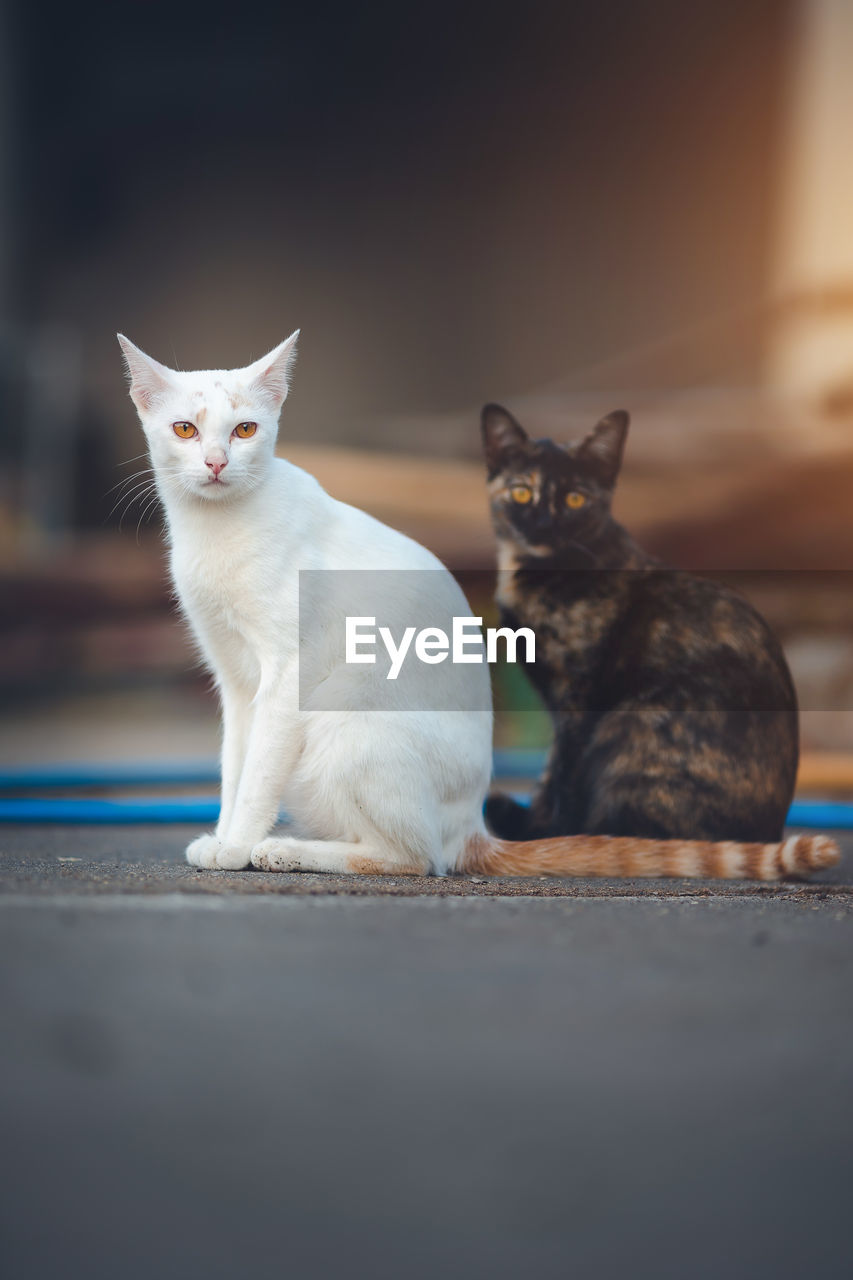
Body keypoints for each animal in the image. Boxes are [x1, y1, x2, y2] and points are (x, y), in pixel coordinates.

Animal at [481, 409, 799, 844]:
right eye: (521, 493)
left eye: (575, 499)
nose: (543, 525)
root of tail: (770, 834)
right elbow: (549, 771)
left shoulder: (578, 698)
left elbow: (563, 775)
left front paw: (551, 835)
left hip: (634, 722)